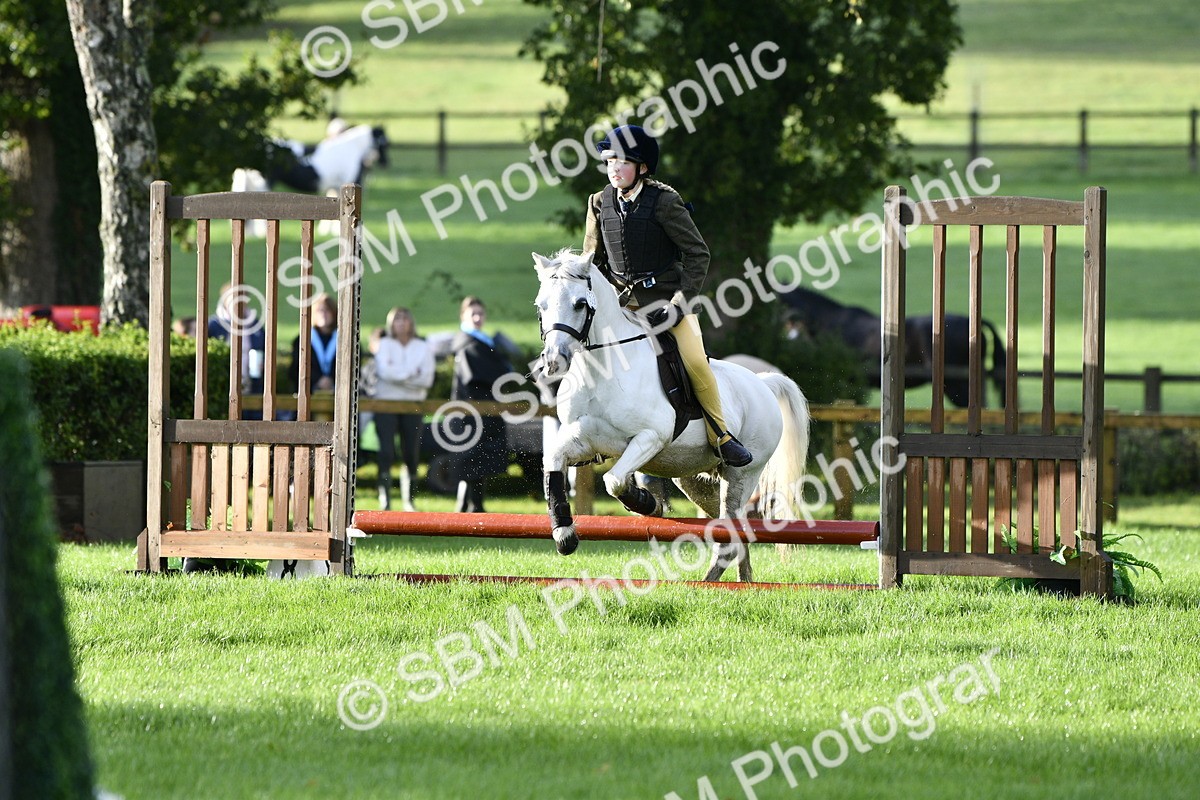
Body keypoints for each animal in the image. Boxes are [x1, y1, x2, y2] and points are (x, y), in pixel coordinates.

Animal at [534, 249, 811, 582]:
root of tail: (764, 383)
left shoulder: (650, 438)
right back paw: (744, 582)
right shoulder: (583, 438)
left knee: (729, 537)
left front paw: (646, 502)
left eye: (579, 304)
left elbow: (614, 480)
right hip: (695, 480)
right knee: (734, 532)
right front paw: (564, 533)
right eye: (541, 305)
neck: (602, 369)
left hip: (742, 474)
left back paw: (708, 584)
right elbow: (553, 463)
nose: (553, 360)